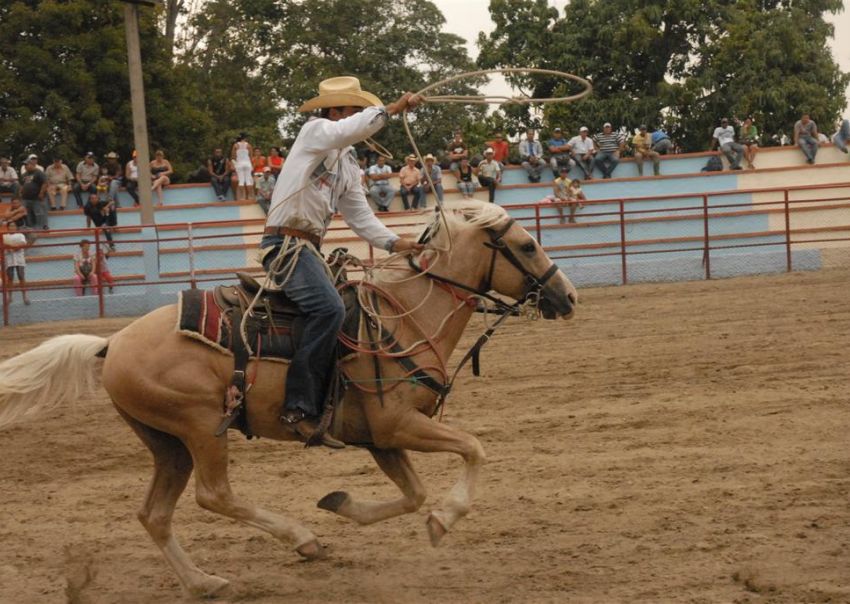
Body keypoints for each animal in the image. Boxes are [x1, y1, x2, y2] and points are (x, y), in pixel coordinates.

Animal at [0, 201, 576, 596]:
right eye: (527, 246)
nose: (567, 296)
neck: (406, 317)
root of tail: (112, 341)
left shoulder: (379, 438)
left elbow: (412, 494)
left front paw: (341, 503)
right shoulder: (396, 425)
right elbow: (473, 449)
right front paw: (445, 518)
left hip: (167, 443)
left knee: (155, 515)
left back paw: (204, 583)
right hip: (199, 426)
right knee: (214, 496)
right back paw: (302, 540)